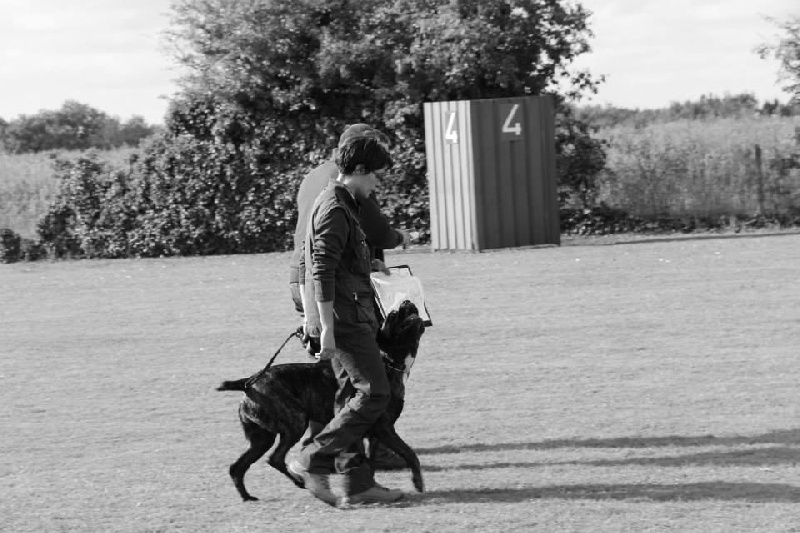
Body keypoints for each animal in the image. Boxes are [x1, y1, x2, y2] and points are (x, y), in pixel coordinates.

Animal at [217, 299, 426, 502]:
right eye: (393, 315)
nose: (407, 302)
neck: (387, 361)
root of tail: (249, 382)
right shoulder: (384, 428)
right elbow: (409, 453)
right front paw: (417, 482)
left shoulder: (376, 434)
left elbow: (372, 461)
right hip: (295, 423)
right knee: (275, 458)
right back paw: (301, 479)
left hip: (261, 438)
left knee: (238, 467)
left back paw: (248, 496)